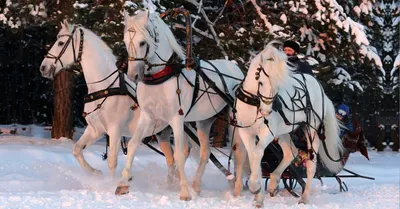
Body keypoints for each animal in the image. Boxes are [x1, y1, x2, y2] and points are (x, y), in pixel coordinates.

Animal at [38, 20, 183, 182]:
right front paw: (94, 173)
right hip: (162, 134)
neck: (105, 87)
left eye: (61, 43)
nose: (43, 67)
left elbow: (112, 161)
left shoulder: (115, 130)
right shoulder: (96, 129)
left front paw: (111, 183)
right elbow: (76, 150)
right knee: (172, 160)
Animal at [116, 9, 247, 200]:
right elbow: (133, 143)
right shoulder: (148, 116)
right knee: (205, 152)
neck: (162, 76)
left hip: (234, 120)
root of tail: (236, 69)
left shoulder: (176, 118)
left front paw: (184, 192)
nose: (133, 75)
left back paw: (236, 189)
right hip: (204, 121)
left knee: (239, 153)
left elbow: (178, 152)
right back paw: (197, 185)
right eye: (125, 42)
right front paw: (123, 183)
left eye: (142, 42)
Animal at [234, 41, 344, 207]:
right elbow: (253, 155)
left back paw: (304, 198)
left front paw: (254, 187)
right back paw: (274, 182)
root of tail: (320, 89)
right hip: (283, 132)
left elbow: (257, 153)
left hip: (311, 129)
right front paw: (258, 195)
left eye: (277, 86)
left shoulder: (267, 132)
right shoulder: (245, 132)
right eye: (261, 82)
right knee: (291, 152)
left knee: (311, 164)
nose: (267, 111)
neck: (253, 104)